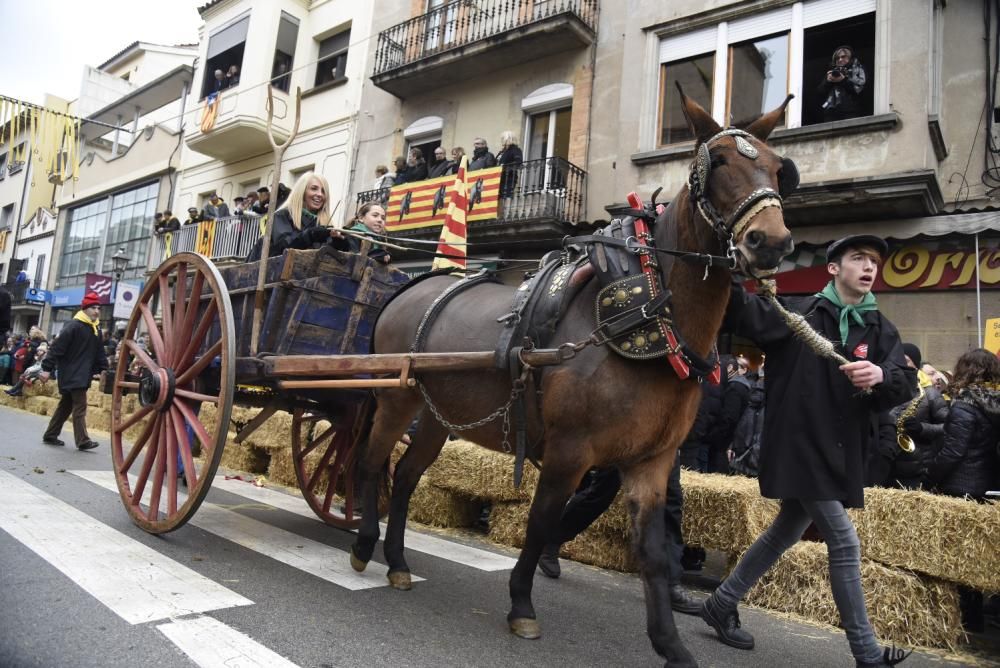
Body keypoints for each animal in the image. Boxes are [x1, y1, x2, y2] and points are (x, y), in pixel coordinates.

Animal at [352, 91, 796, 664]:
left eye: (776, 167)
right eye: (717, 162)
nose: (771, 241)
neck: (642, 313)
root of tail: (406, 290)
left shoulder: (651, 462)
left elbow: (654, 552)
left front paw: (670, 642)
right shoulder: (569, 452)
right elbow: (540, 523)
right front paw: (521, 603)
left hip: (436, 416)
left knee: (406, 476)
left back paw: (399, 560)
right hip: (396, 400)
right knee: (371, 464)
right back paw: (365, 543)